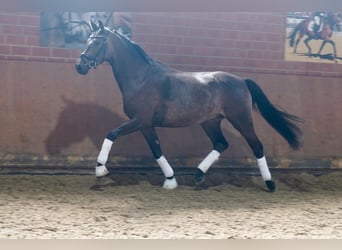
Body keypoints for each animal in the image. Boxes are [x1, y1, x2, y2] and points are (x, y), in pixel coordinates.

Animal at [75, 20, 302, 192]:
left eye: (97, 42)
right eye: (87, 40)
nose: (80, 66)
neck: (141, 78)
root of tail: (241, 81)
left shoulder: (139, 120)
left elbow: (111, 134)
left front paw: (100, 169)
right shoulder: (146, 125)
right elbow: (156, 150)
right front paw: (170, 180)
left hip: (241, 120)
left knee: (257, 146)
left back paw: (270, 184)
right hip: (210, 122)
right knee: (221, 144)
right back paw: (198, 174)